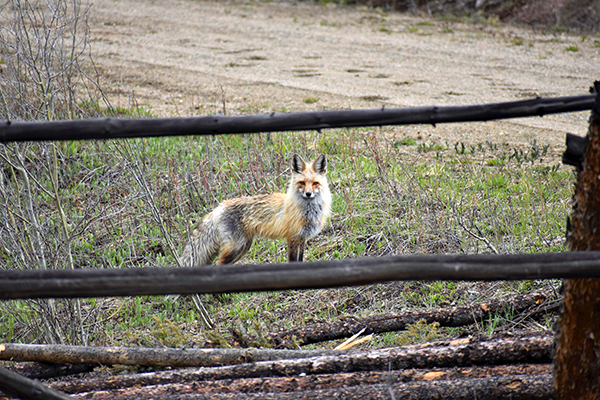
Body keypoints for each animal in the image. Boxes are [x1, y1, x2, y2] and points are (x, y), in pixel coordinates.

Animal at [182, 154, 332, 266]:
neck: (308, 212)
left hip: (243, 247)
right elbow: (293, 262)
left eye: (315, 183)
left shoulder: (302, 239)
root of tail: (220, 206)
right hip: (237, 246)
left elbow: (300, 260)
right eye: (302, 183)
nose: (308, 194)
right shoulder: (293, 238)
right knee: (219, 263)